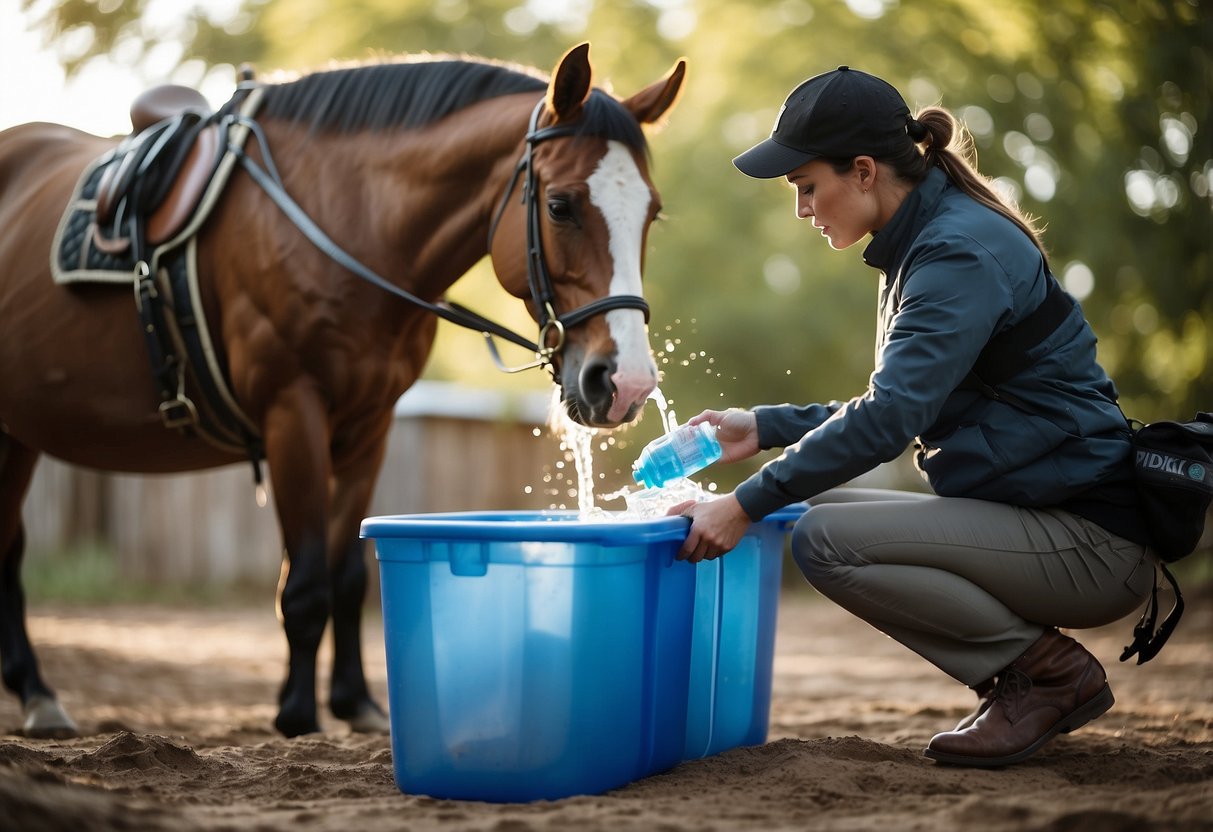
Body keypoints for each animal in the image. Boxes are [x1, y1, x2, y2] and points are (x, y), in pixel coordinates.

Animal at [0, 42, 684, 742]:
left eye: (652, 212)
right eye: (561, 206)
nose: (625, 382)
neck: (347, 219)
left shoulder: (369, 426)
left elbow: (348, 573)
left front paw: (356, 703)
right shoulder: (293, 412)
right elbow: (304, 584)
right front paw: (298, 716)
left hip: (18, 436)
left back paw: (35, 693)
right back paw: (39, 696)